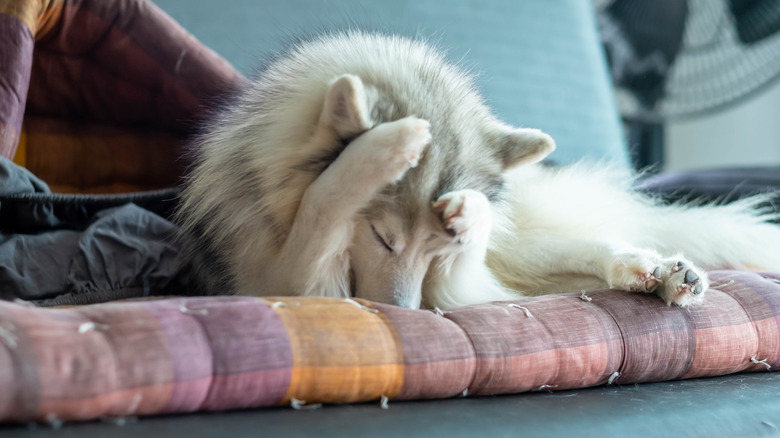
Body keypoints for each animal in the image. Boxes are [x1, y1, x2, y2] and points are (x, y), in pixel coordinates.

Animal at [175, 30, 780, 310]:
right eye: (382, 239)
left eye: (434, 249)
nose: (404, 312)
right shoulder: (287, 283)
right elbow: (324, 207)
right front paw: (394, 145)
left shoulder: (455, 282)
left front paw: (470, 211)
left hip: (527, 250)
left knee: (592, 245)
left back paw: (659, 271)